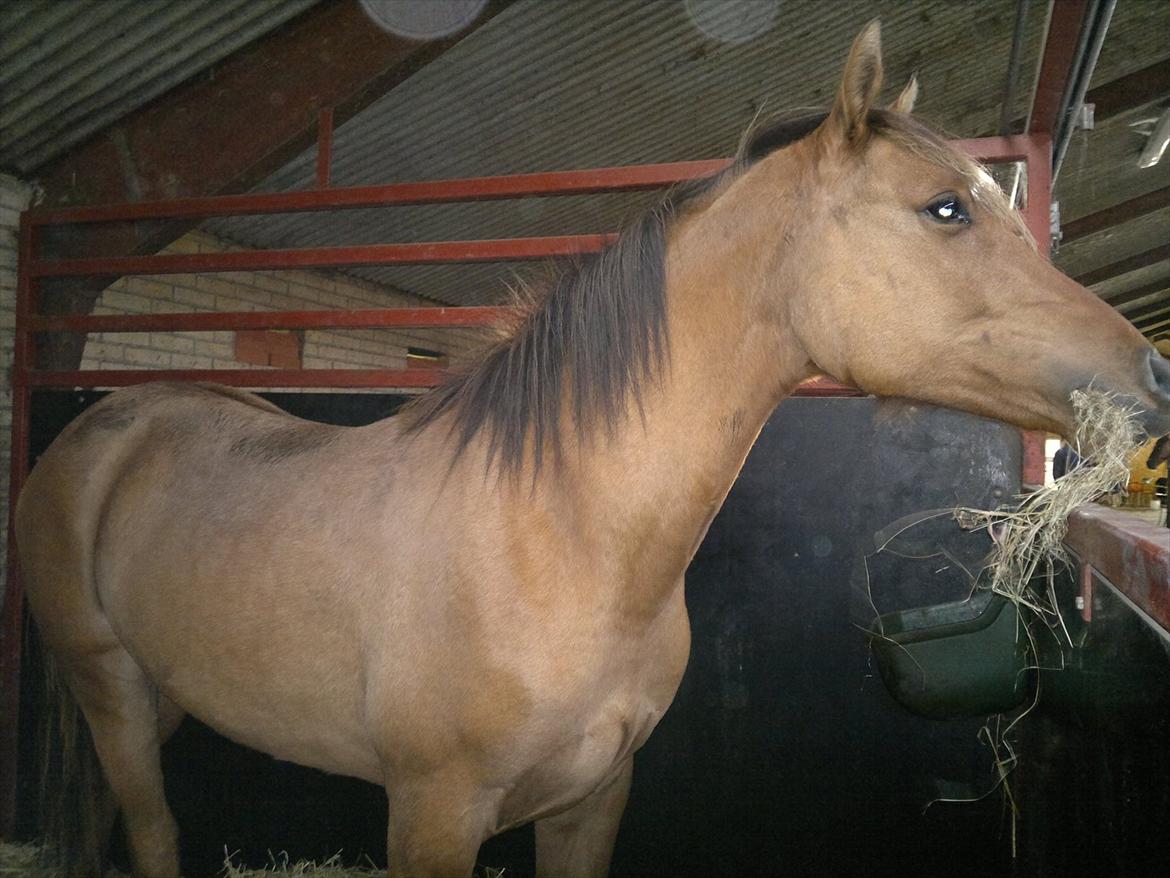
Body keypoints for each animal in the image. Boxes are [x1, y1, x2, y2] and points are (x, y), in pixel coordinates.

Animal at [16, 22, 1170, 878]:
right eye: (944, 208)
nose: (1152, 374)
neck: (557, 537)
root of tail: (100, 428)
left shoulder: (594, 796)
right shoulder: (432, 812)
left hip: (161, 696)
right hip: (111, 690)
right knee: (155, 830)